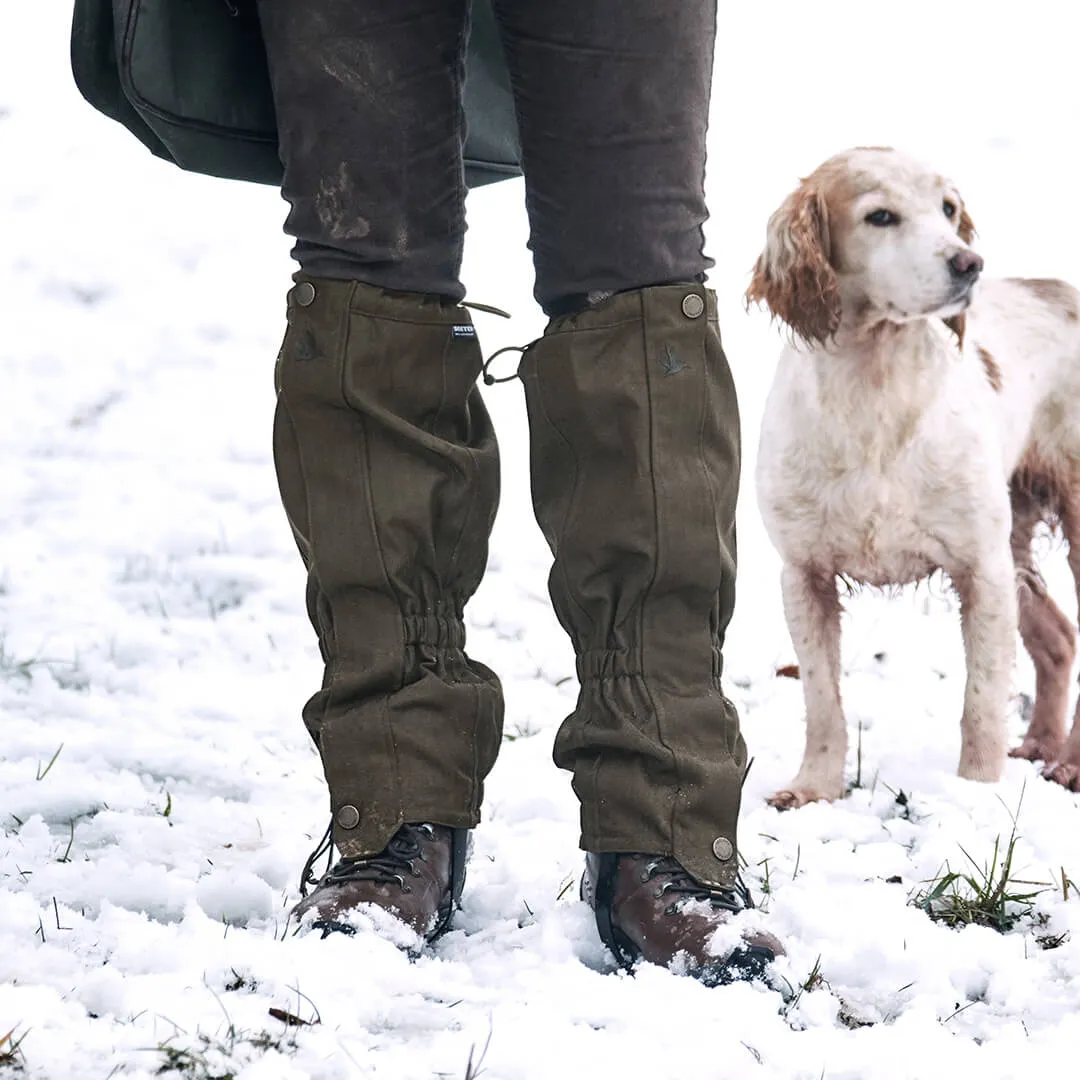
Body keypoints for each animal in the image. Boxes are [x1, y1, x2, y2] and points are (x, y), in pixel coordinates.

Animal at [747, 147, 1080, 812]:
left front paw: (975, 797)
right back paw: (1040, 748)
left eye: (948, 208)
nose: (969, 263)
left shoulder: (980, 567)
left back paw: (1072, 764)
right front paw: (812, 788)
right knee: (1059, 637)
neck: (874, 385)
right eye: (880, 216)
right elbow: (822, 698)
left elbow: (981, 701)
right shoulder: (804, 572)